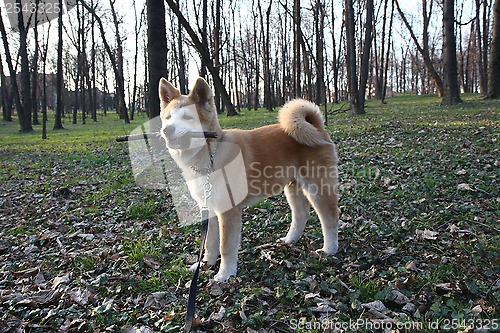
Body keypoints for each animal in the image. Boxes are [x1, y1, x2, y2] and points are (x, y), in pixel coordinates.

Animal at [160, 77, 340, 280]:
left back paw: (329, 249)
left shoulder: (228, 211)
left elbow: (226, 247)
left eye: (188, 117)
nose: (167, 130)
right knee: (301, 215)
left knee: (330, 217)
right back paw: (290, 240)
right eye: (168, 117)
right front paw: (205, 264)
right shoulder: (209, 208)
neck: (212, 155)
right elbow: (209, 243)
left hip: (317, 187)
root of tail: (316, 126)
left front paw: (225, 274)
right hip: (292, 188)